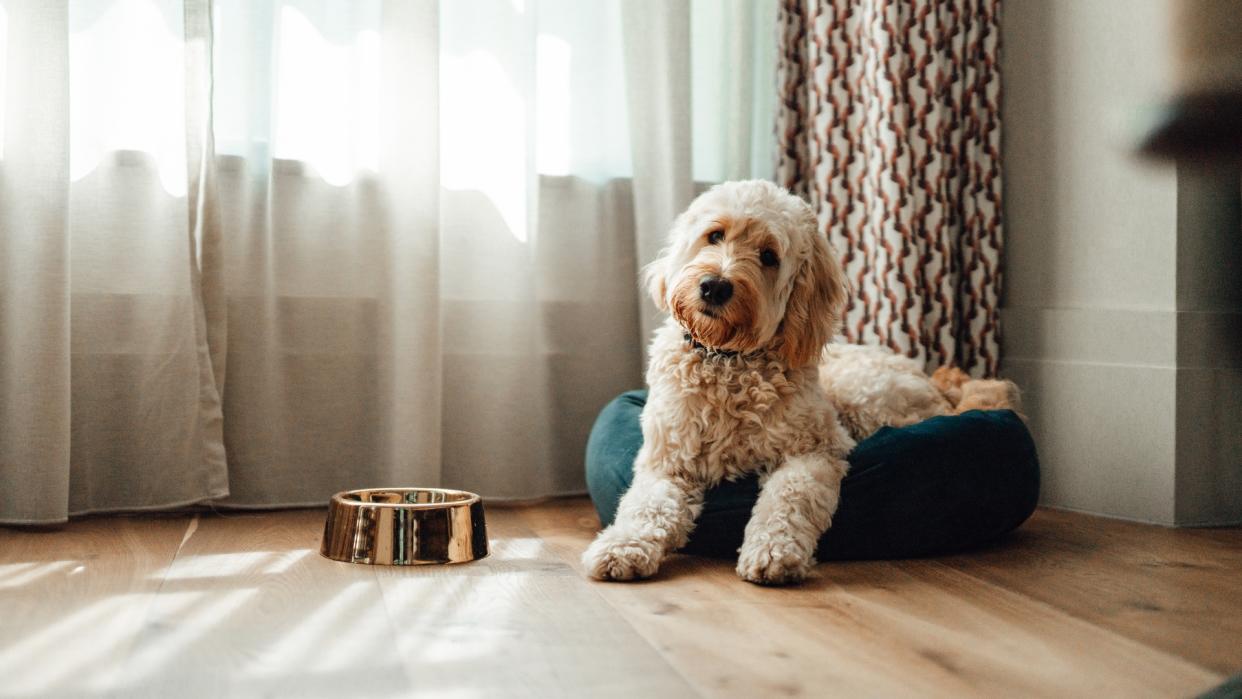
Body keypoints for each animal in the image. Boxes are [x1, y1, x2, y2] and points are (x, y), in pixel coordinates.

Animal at [581, 178, 1018, 586]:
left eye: (769, 256)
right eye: (715, 235)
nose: (715, 286)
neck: (728, 362)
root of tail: (937, 385)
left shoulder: (815, 450)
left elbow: (788, 499)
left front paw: (774, 551)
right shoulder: (667, 461)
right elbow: (645, 505)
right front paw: (622, 545)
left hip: (865, 398)